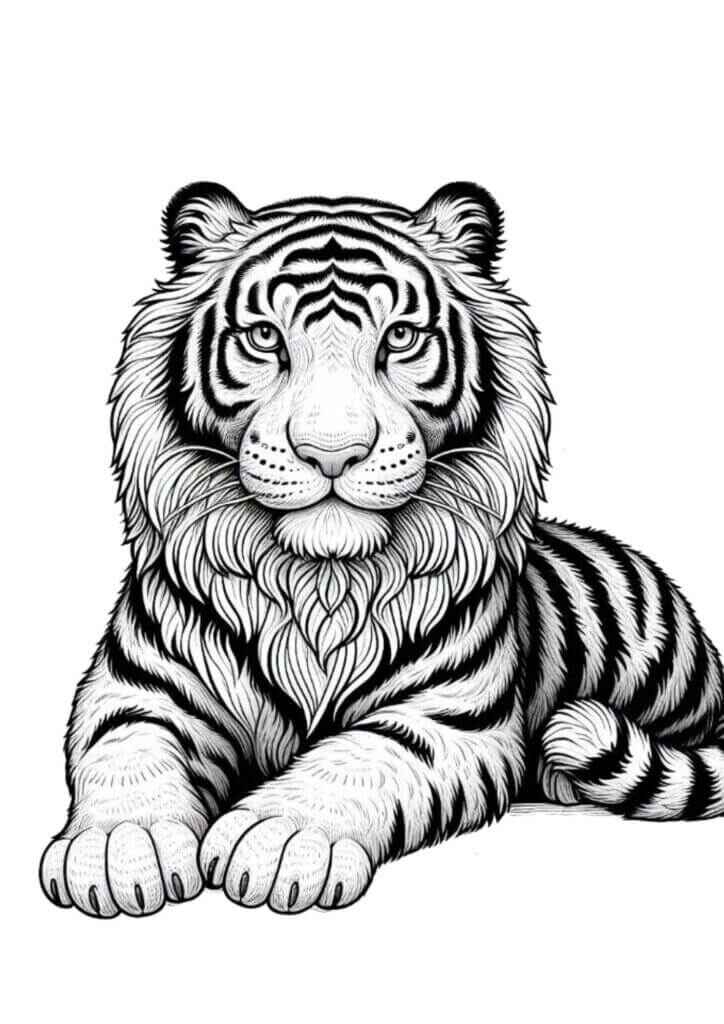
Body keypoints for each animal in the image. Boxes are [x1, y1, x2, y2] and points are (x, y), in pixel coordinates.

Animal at [40, 181, 724, 918]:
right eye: (264, 337)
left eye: (399, 337)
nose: (332, 451)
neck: (321, 579)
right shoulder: (137, 689)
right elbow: (126, 747)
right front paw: (119, 849)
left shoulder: (450, 717)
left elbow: (364, 756)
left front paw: (279, 840)